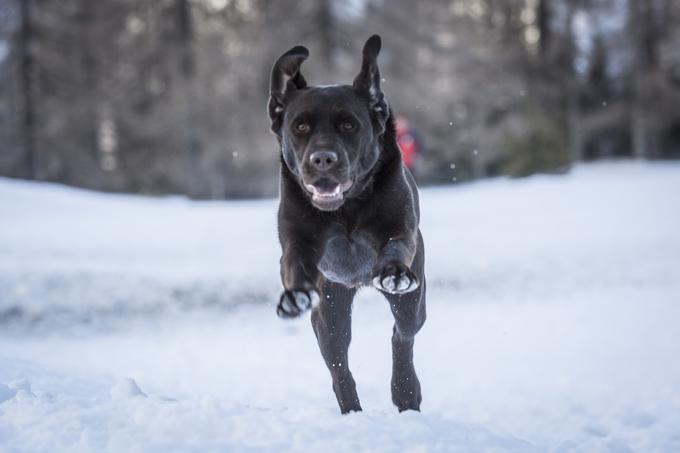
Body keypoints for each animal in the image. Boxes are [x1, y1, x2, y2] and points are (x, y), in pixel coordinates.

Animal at [266, 33, 422, 412]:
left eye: (349, 125)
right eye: (300, 126)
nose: (322, 159)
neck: (346, 209)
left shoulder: (401, 230)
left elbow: (396, 245)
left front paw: (394, 272)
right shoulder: (296, 240)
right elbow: (294, 262)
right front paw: (294, 296)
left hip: (414, 303)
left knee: (402, 337)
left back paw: (406, 392)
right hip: (330, 314)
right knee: (339, 365)